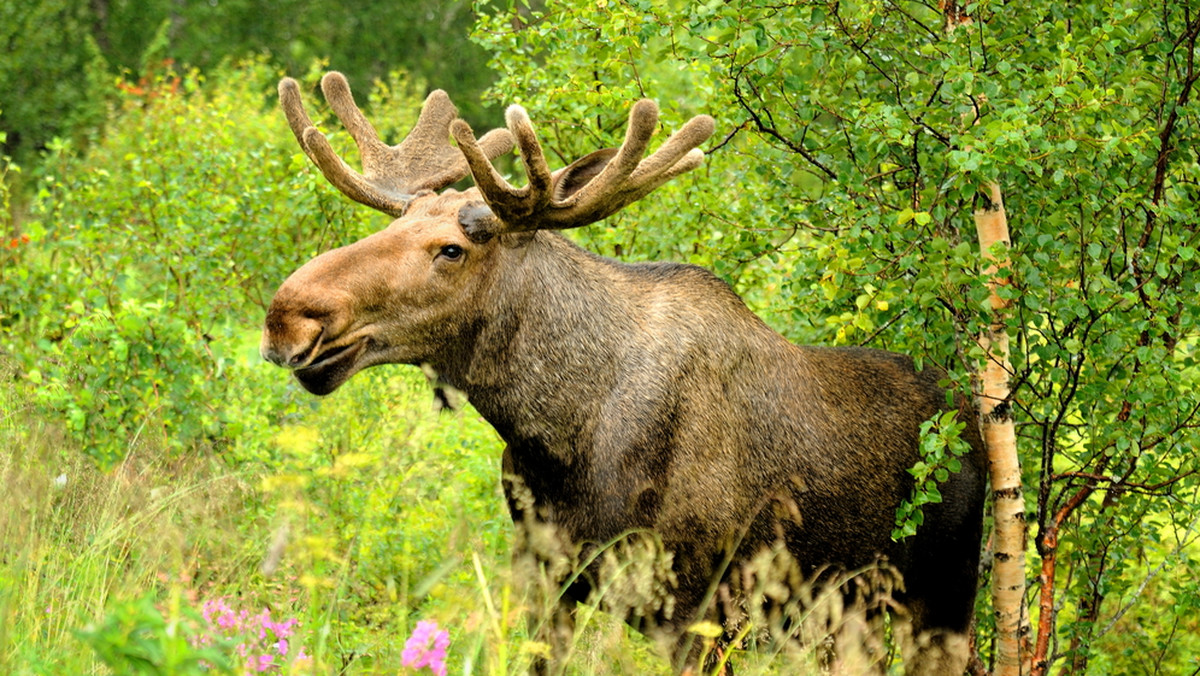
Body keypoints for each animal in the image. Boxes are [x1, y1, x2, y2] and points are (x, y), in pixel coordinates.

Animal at [260, 74, 984, 676]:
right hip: (850, 618)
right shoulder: (545, 579)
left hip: (941, 602)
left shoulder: (699, 609)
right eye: (401, 221)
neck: (558, 438)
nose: (288, 315)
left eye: (452, 250)